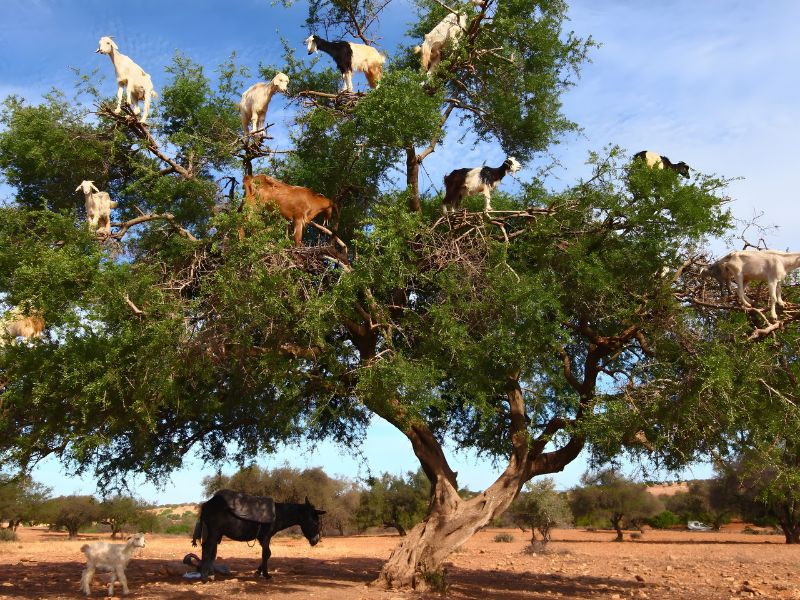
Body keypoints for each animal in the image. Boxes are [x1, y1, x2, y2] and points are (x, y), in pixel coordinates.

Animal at [193, 489, 325, 580]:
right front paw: (266, 575)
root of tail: (207, 504)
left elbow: (267, 554)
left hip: (214, 533)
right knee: (208, 549)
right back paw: (205, 576)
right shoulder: (267, 535)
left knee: (210, 550)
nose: (316, 540)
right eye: (316, 523)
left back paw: (208, 574)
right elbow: (266, 554)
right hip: (213, 532)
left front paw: (258, 572)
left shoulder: (262, 538)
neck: (278, 513)